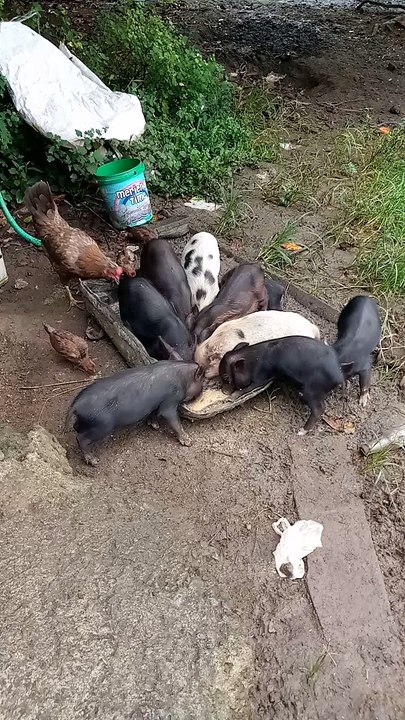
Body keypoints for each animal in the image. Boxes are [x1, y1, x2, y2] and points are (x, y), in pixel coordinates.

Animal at [67, 362, 203, 465]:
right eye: (203, 383)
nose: (202, 392)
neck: (183, 378)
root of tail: (76, 404)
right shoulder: (170, 402)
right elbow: (173, 420)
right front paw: (189, 442)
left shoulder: (155, 405)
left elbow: (153, 414)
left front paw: (155, 426)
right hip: (102, 425)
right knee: (81, 438)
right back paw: (94, 461)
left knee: (76, 428)